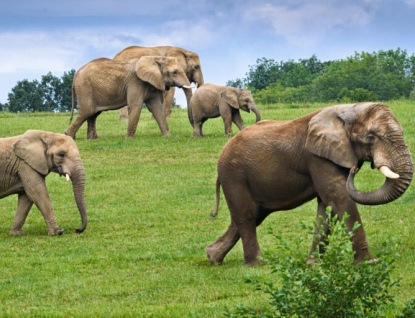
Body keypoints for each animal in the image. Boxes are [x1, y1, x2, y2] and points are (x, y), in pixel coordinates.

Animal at [206, 102, 414, 266]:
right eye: (371, 137)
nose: (354, 170)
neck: (349, 110)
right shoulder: (317, 157)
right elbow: (339, 198)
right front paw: (369, 263)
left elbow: (327, 208)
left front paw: (313, 264)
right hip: (234, 176)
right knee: (247, 216)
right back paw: (257, 264)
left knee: (250, 216)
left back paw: (213, 258)